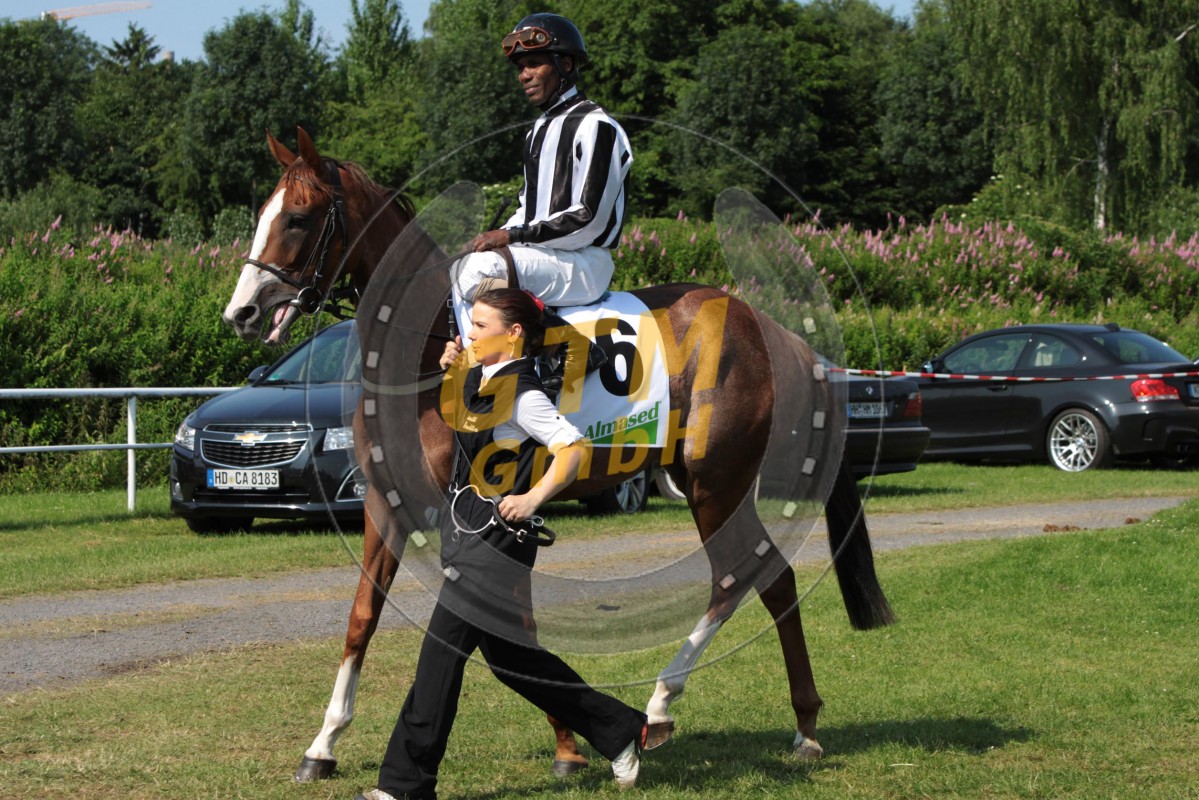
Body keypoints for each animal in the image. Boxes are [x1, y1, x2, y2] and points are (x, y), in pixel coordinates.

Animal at [221, 128, 895, 783]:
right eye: (264, 213)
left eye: (299, 218)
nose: (240, 311)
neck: (424, 360)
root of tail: (772, 331)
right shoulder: (392, 506)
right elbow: (365, 615)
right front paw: (323, 744)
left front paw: (576, 743)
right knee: (767, 579)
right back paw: (785, 722)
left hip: (716, 485)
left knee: (750, 576)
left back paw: (691, 707)